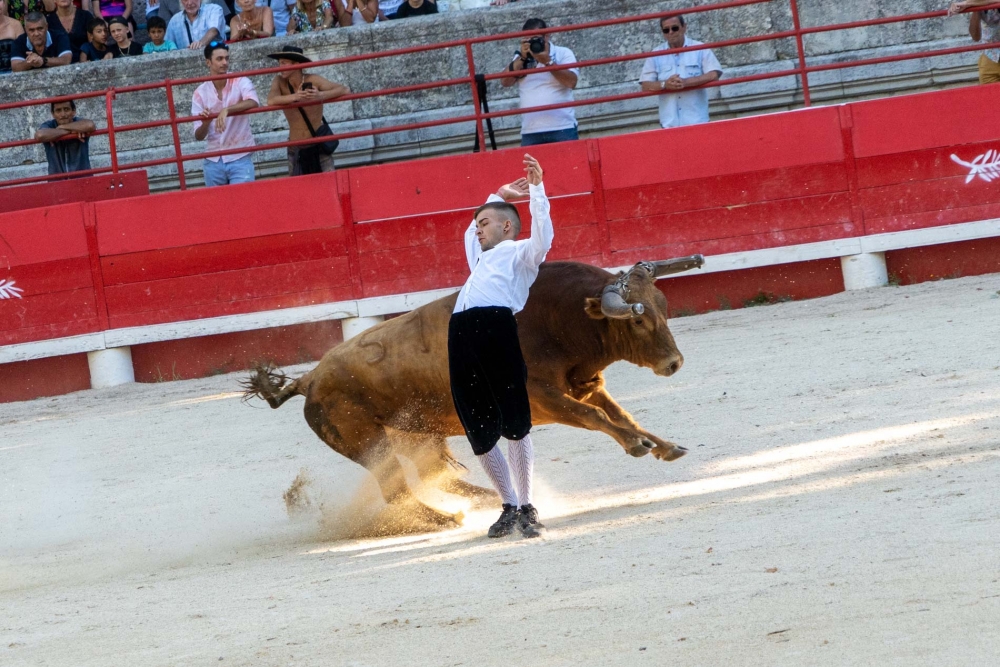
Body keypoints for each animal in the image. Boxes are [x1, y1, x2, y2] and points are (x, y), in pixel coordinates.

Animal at [242, 254, 704, 528]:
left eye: (664, 308)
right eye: (638, 320)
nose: (674, 363)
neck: (554, 317)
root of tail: (309, 379)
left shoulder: (584, 386)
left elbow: (620, 414)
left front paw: (664, 445)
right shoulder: (543, 399)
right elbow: (598, 417)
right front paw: (637, 445)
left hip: (417, 434)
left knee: (438, 475)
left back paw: (486, 499)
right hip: (371, 444)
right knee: (397, 489)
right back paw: (446, 519)